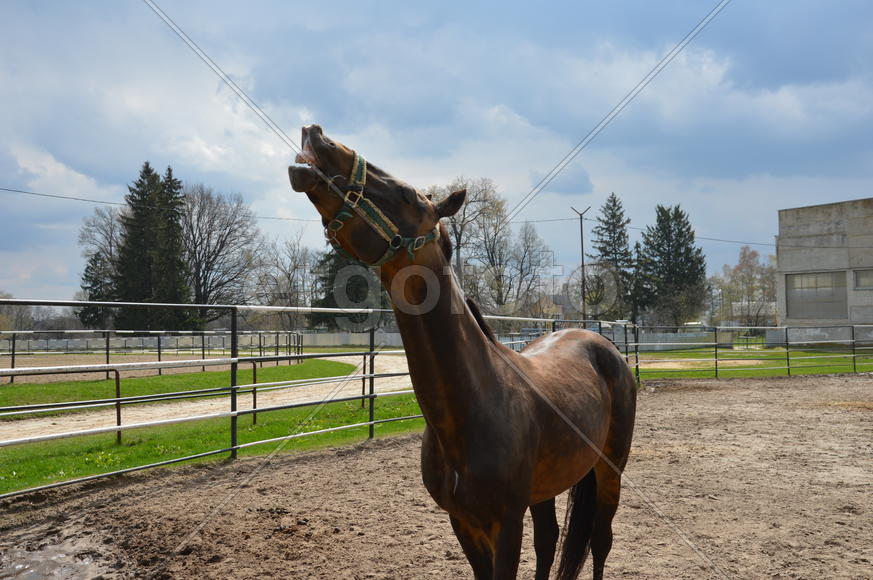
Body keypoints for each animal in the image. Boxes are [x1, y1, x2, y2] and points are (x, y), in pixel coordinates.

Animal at [290, 125, 636, 580]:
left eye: (406, 194)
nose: (318, 135)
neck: (475, 401)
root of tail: (603, 345)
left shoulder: (506, 524)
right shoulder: (463, 523)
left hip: (610, 468)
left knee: (600, 539)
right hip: (545, 488)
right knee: (549, 540)